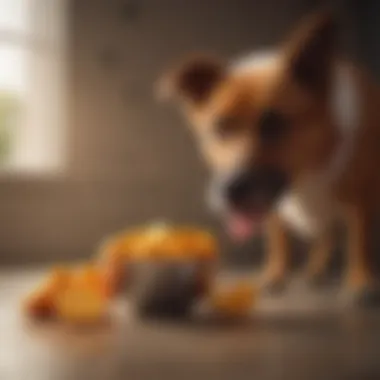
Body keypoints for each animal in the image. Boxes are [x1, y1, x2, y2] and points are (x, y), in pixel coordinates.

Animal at [159, 10, 380, 306]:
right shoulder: (272, 205)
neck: (306, 175)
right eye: (219, 126)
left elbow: (360, 241)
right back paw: (316, 269)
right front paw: (274, 275)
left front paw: (361, 281)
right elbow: (278, 240)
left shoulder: (361, 200)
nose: (231, 190)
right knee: (326, 236)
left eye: (274, 123)